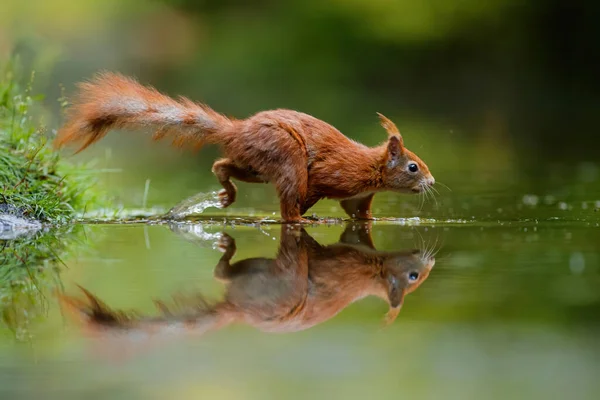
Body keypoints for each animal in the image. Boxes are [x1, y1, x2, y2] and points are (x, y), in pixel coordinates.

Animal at [54, 72, 434, 222]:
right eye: (413, 166)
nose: (431, 182)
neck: (371, 169)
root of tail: (237, 130)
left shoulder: (358, 197)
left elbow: (359, 214)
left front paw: (380, 218)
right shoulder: (333, 176)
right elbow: (311, 193)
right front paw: (307, 212)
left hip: (254, 166)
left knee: (221, 166)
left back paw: (228, 191)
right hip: (283, 158)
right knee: (288, 202)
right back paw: (300, 219)